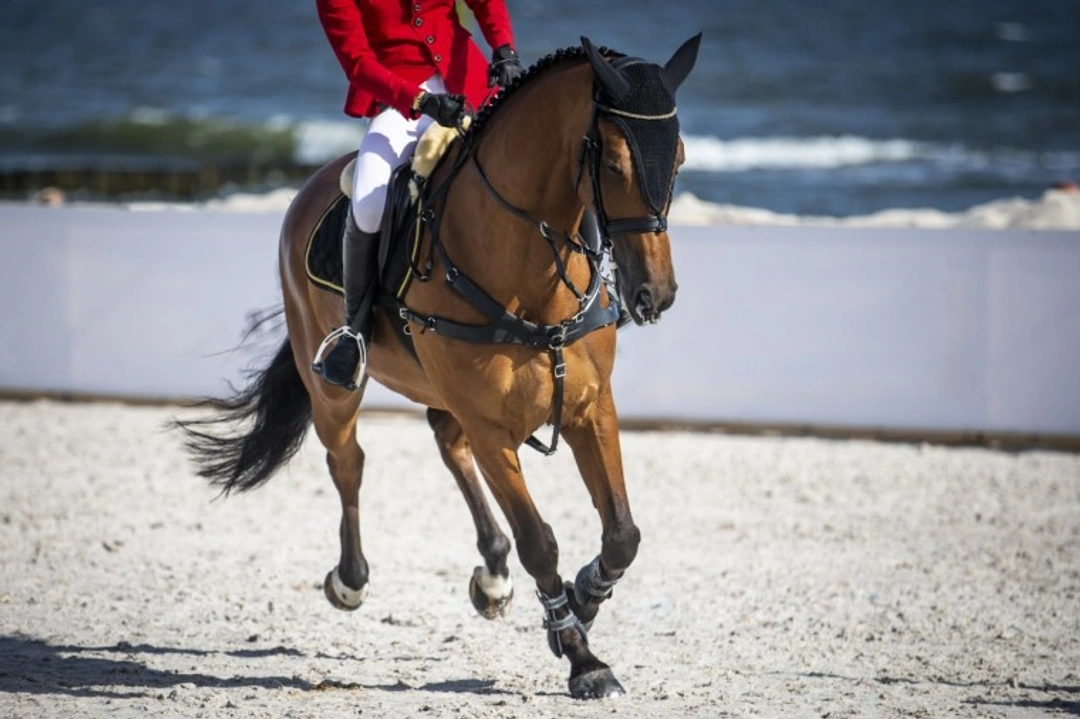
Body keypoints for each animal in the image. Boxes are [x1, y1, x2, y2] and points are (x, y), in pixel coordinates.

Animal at [176, 34, 700, 699]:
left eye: (679, 158)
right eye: (611, 164)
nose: (656, 294)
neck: (530, 274)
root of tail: (311, 186)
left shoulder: (590, 407)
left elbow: (622, 534)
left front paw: (582, 599)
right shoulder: (493, 429)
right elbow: (540, 543)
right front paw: (582, 655)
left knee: (445, 443)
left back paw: (493, 574)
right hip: (336, 388)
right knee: (349, 461)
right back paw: (351, 579)